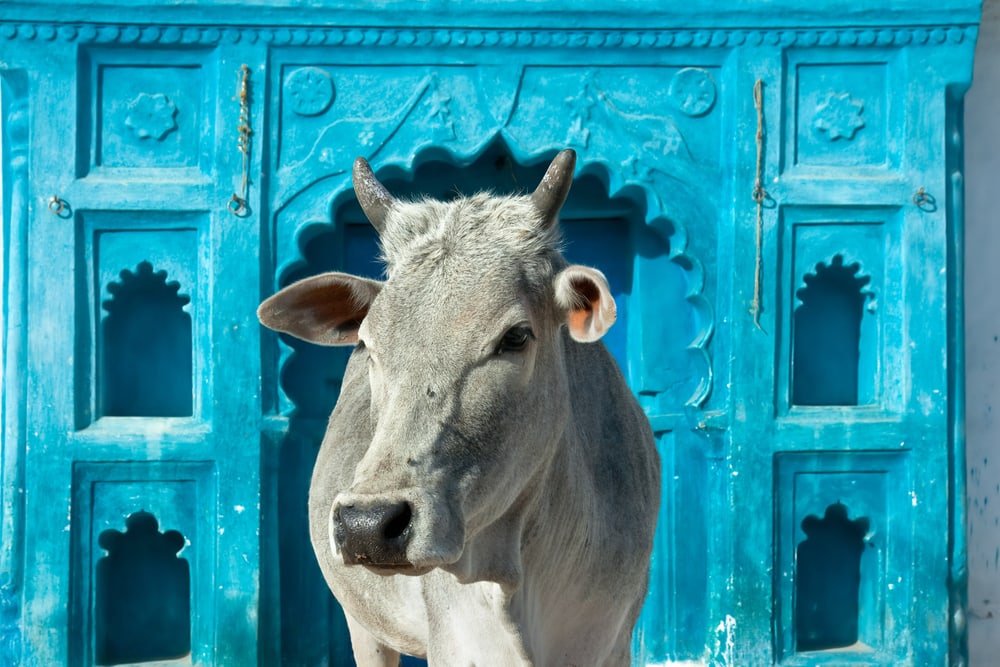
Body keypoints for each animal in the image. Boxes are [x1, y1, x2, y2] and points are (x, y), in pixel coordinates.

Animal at [258, 151, 664, 667]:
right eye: (368, 344)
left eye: (516, 336)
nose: (367, 525)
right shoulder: (458, 642)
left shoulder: (611, 641)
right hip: (362, 623)